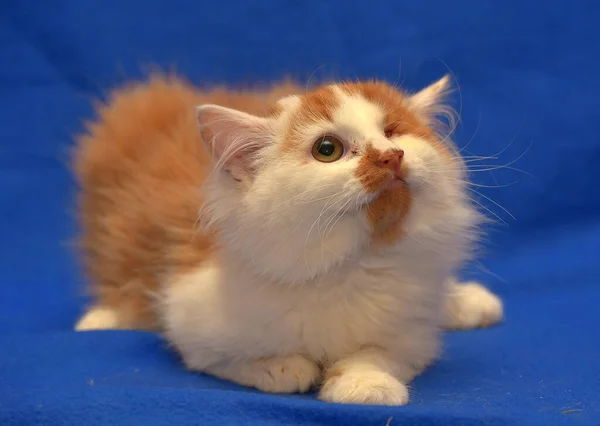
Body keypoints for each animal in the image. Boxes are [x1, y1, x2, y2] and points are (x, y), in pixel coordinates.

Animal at [76, 73, 506, 406]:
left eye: (392, 132)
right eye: (327, 150)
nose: (391, 155)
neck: (348, 263)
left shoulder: (412, 332)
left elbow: (376, 354)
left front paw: (364, 385)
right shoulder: (189, 318)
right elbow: (226, 360)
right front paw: (284, 367)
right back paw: (100, 319)